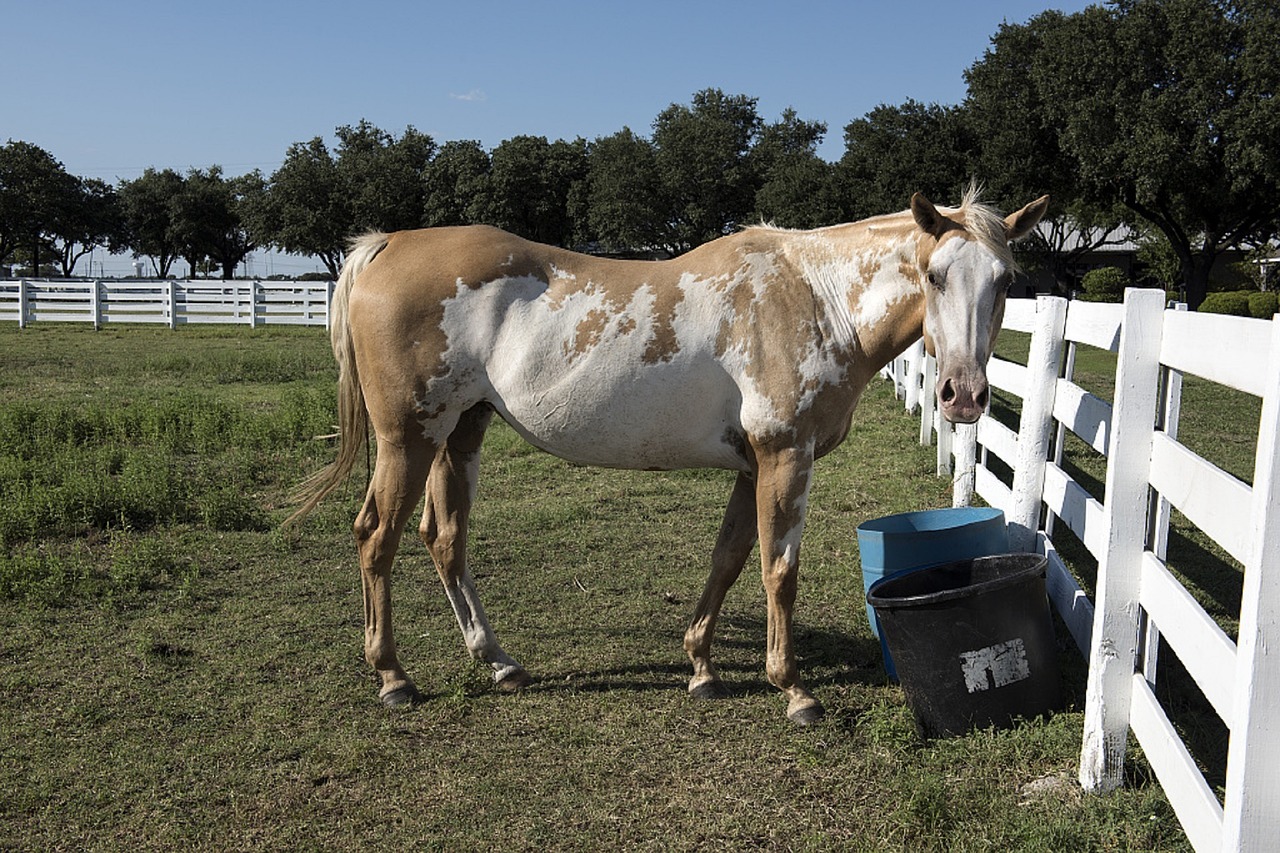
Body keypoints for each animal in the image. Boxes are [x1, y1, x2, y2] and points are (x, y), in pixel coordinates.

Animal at [290, 189, 1049, 722]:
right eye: (934, 275)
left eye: (1006, 280)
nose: (962, 395)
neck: (816, 297)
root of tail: (387, 245)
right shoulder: (785, 456)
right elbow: (779, 572)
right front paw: (795, 690)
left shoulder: (752, 464)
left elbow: (728, 559)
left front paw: (702, 667)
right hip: (410, 437)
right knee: (377, 537)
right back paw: (394, 678)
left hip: (462, 432)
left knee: (443, 537)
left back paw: (500, 663)